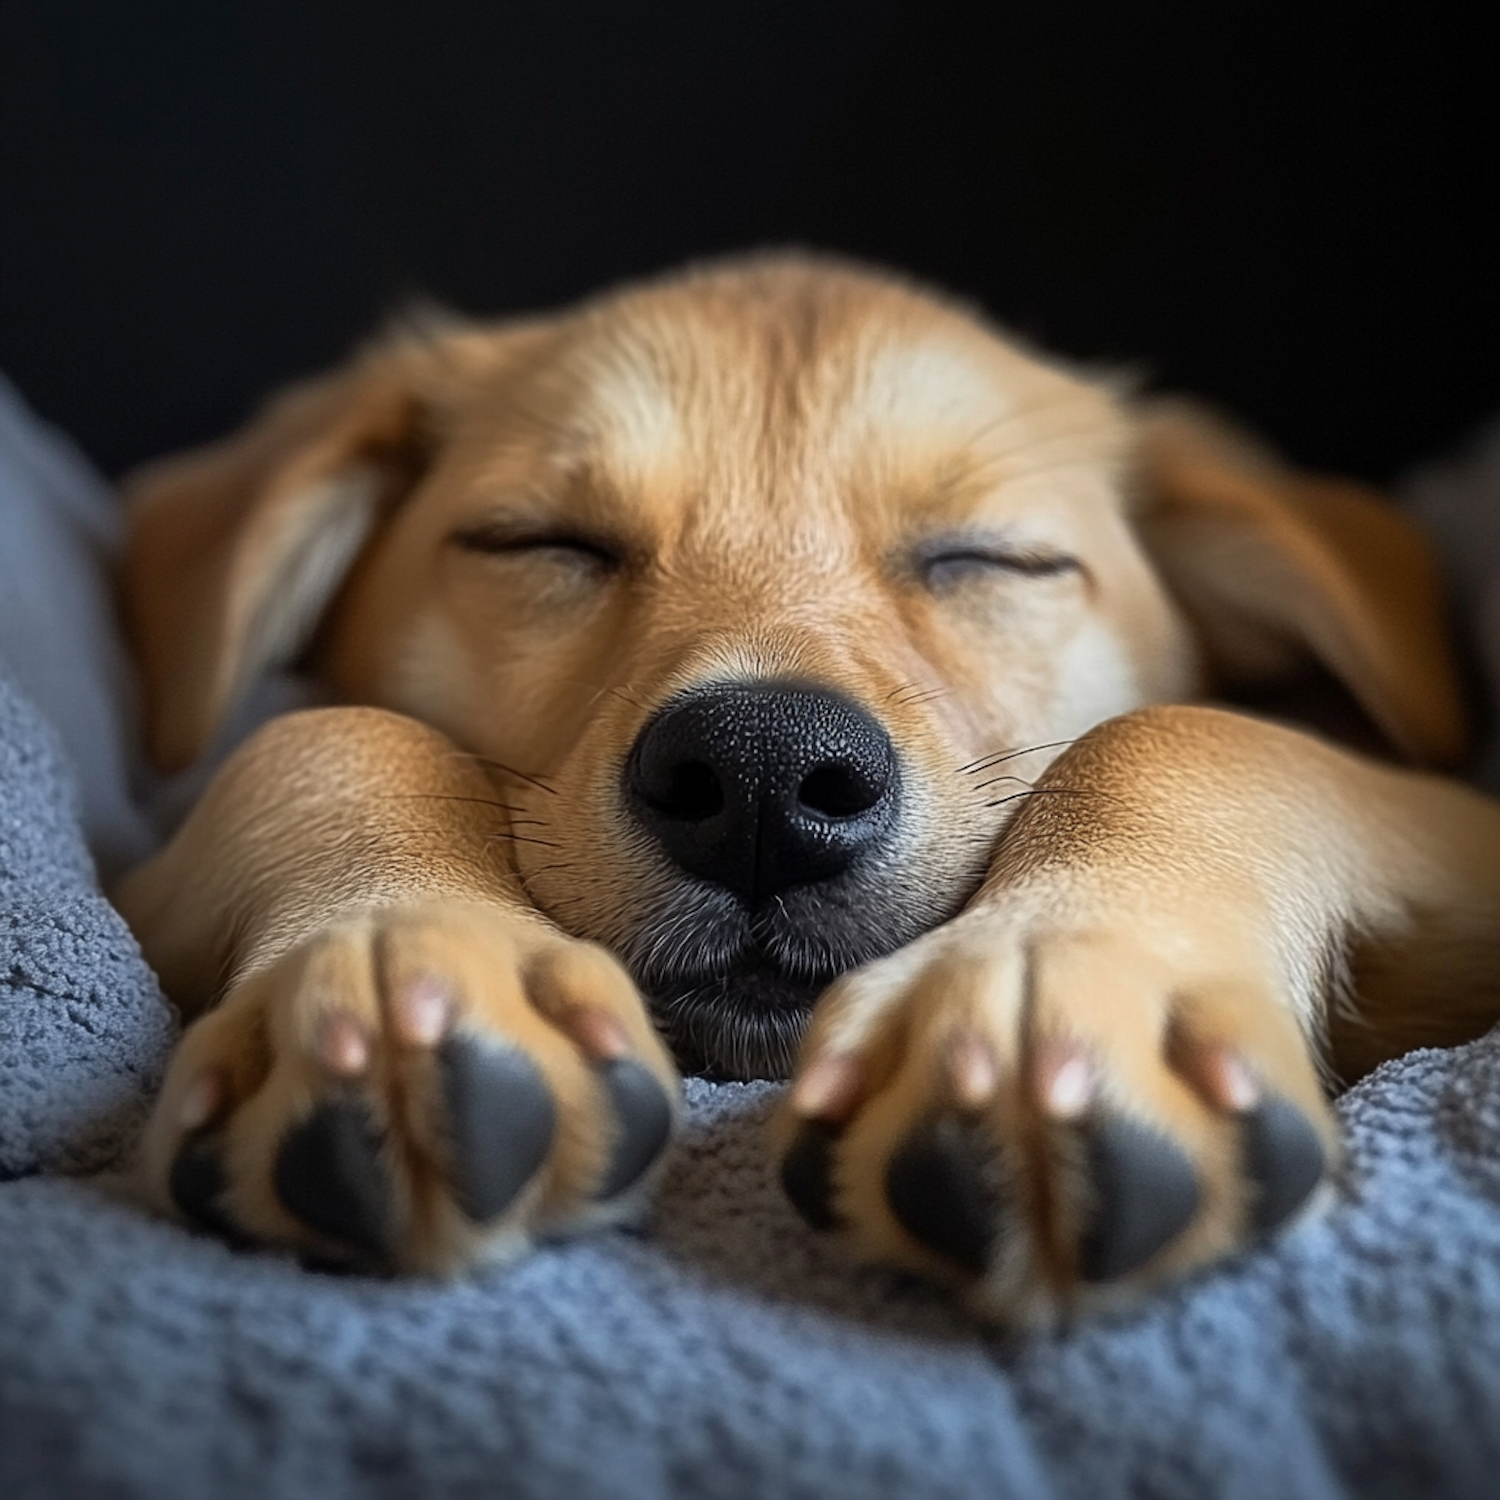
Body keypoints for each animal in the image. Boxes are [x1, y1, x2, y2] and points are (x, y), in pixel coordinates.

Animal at [114, 255, 1500, 1326]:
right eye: (542, 543)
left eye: (988, 559)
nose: (761, 776)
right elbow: (333, 735)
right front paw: (397, 954)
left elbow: (1180, 733)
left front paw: (1061, 978)